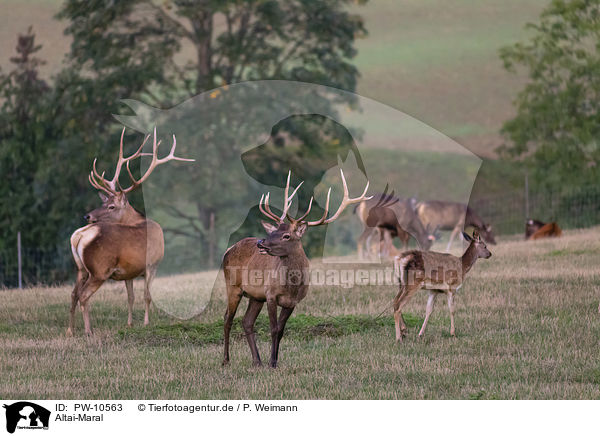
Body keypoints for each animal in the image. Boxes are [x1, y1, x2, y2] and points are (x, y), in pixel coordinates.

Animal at [69, 127, 193, 336]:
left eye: (110, 206)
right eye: (105, 203)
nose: (87, 216)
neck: (140, 220)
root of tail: (79, 236)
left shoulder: (128, 271)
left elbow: (131, 296)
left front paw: (129, 324)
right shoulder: (152, 263)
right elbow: (147, 296)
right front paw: (146, 323)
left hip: (80, 268)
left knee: (73, 294)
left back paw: (70, 330)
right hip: (99, 269)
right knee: (83, 296)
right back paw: (88, 331)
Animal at [221, 170, 370, 368]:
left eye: (286, 235)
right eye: (273, 231)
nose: (261, 242)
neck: (291, 286)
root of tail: (228, 250)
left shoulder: (292, 302)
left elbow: (281, 331)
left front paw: (274, 361)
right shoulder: (270, 294)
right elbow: (273, 328)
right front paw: (272, 363)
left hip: (255, 296)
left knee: (247, 321)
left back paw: (257, 361)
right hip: (233, 286)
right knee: (227, 318)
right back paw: (226, 360)